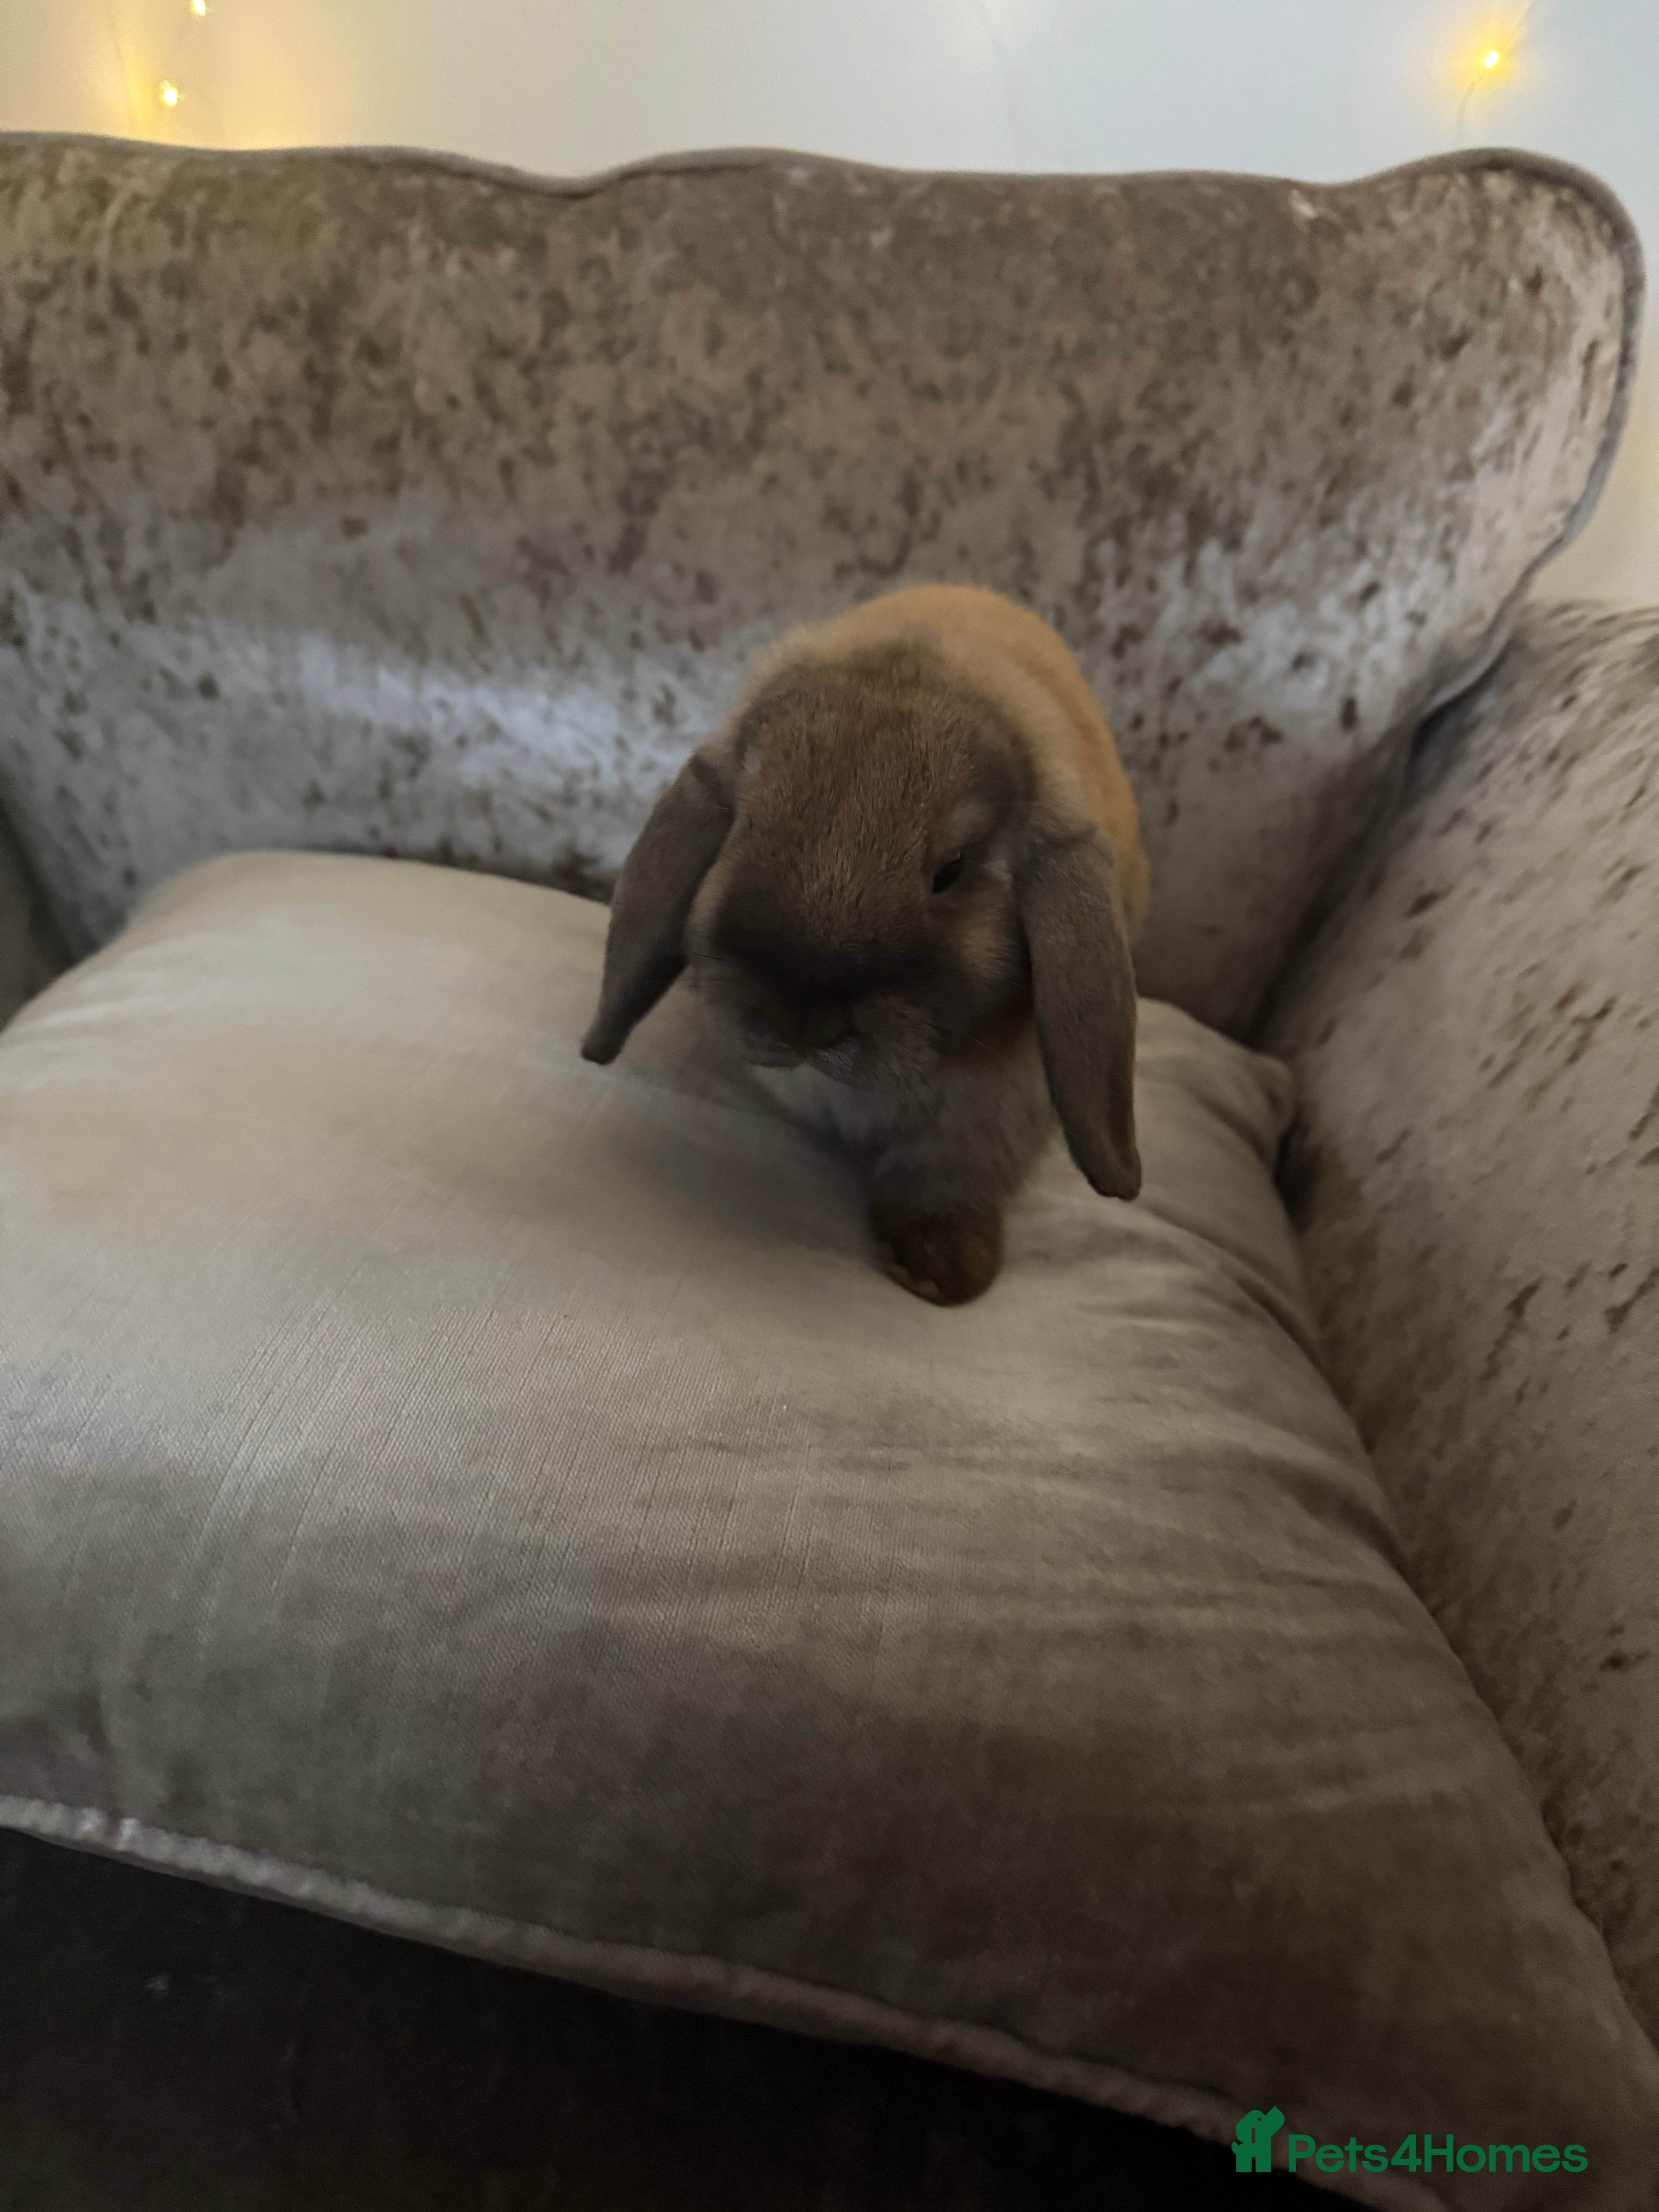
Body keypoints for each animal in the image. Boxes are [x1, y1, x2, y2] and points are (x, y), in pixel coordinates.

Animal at [582, 584, 1152, 1305]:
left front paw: (939, 1273)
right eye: (744, 824)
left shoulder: (993, 1110)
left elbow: (947, 1173)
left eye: (952, 870)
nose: (797, 1020)